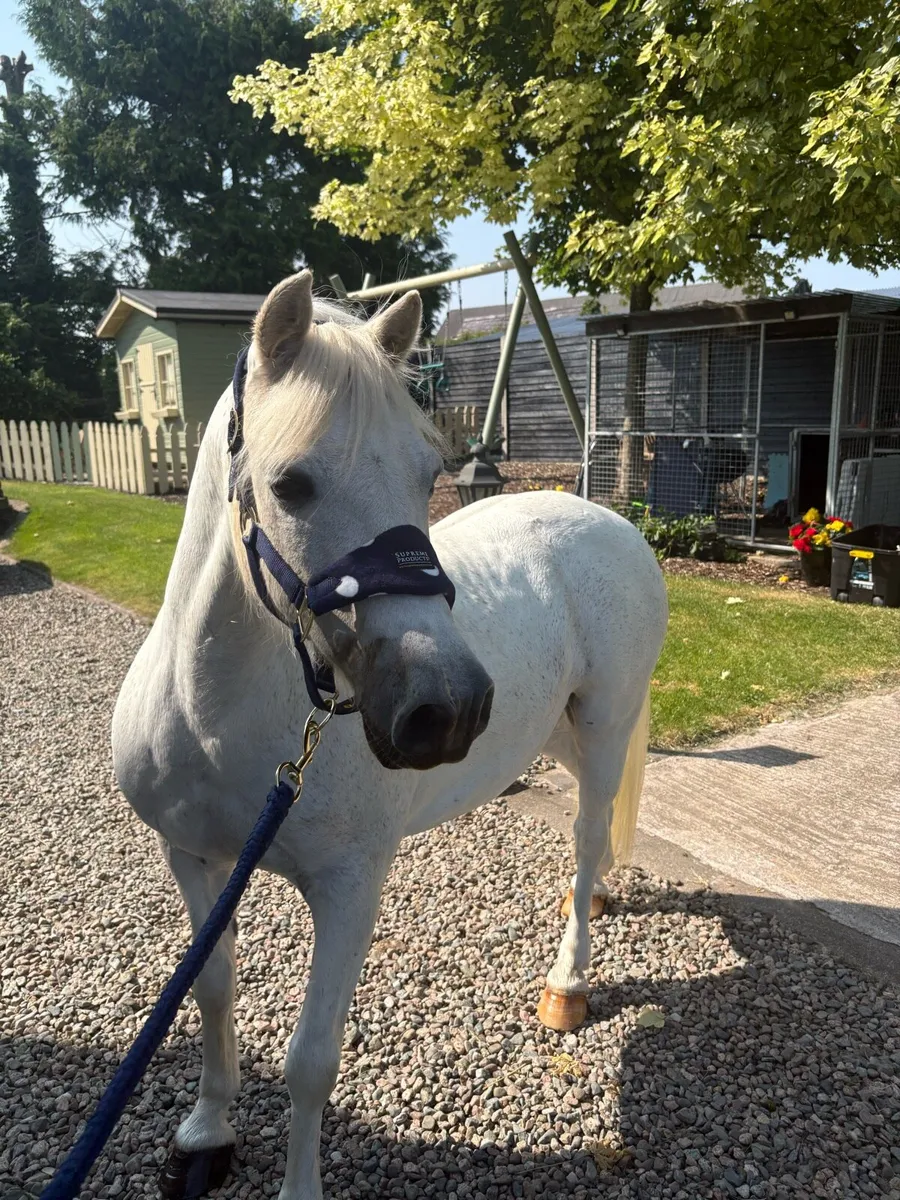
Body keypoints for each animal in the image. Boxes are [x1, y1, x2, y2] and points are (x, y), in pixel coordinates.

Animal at [111, 271, 668, 1200]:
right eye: (290, 484)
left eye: (427, 471)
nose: (448, 709)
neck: (219, 716)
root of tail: (610, 520)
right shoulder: (191, 859)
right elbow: (213, 989)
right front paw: (206, 1133)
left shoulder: (349, 888)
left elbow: (310, 1061)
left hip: (603, 727)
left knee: (591, 836)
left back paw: (568, 979)